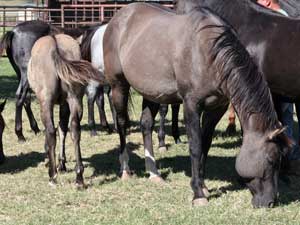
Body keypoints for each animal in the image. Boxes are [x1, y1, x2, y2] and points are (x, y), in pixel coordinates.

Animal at [28, 33, 103, 185]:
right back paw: (79, 176)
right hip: (75, 99)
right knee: (74, 129)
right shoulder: (65, 103)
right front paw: (62, 163)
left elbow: (56, 130)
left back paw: (52, 175)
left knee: (51, 131)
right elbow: (63, 128)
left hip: (46, 101)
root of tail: (55, 46)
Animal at [105, 2, 290, 207]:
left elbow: (205, 145)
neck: (209, 54)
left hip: (152, 93)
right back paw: (125, 169)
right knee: (122, 123)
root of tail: (119, 16)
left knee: (146, 124)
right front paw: (198, 194)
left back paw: (154, 173)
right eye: (271, 159)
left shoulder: (216, 109)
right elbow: (195, 146)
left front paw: (203, 186)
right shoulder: (191, 105)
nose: (271, 201)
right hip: (118, 85)